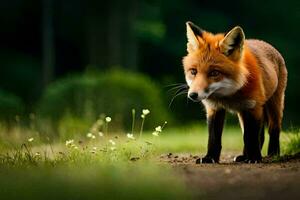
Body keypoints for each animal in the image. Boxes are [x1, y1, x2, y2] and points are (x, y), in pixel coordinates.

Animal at [182, 21, 288, 163]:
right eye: (193, 71)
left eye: (214, 73)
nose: (193, 95)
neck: (229, 95)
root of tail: (263, 42)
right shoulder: (214, 108)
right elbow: (214, 139)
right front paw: (210, 157)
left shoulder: (253, 107)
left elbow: (251, 137)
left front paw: (254, 158)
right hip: (243, 113)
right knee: (258, 135)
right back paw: (244, 156)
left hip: (273, 104)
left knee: (273, 128)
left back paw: (273, 154)